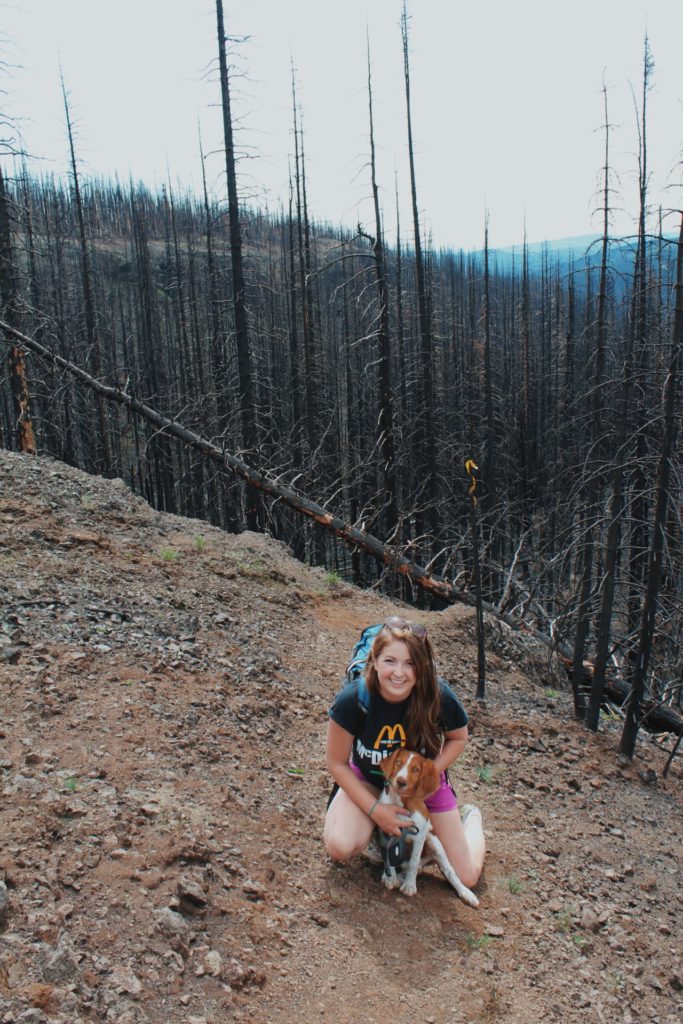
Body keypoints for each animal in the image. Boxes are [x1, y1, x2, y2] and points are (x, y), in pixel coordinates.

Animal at [378, 745, 481, 905]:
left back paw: (466, 893)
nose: (401, 781)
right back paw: (399, 876)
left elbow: (413, 862)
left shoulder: (420, 835)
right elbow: (390, 855)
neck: (402, 802)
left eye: (416, 770)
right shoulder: (387, 827)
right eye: (398, 762)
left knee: (447, 871)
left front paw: (409, 885)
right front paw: (390, 877)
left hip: (435, 843)